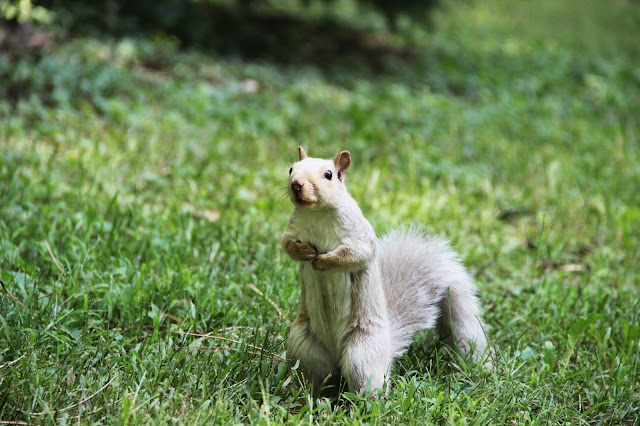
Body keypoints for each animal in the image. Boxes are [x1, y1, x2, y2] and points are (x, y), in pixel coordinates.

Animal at [282, 147, 488, 396]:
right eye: (291, 169)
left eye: (328, 174)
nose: (296, 184)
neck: (316, 213)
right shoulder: (292, 229)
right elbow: (287, 244)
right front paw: (303, 251)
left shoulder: (359, 235)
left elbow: (356, 254)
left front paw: (324, 261)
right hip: (303, 348)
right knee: (315, 379)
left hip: (362, 356)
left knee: (363, 382)